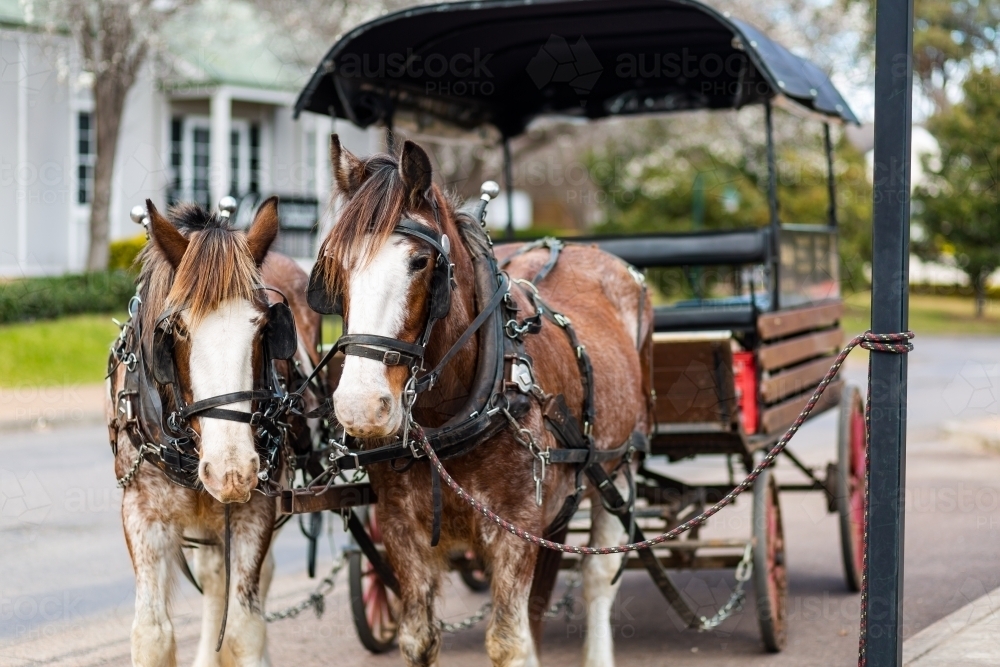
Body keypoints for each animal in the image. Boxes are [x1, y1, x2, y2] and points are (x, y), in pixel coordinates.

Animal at [106, 201, 318, 667]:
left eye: (263, 328)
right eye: (178, 329)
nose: (231, 471)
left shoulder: (256, 510)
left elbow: (242, 629)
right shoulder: (141, 511)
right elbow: (151, 634)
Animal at [314, 137, 656, 667]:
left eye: (419, 263)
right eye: (334, 265)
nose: (360, 406)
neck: (450, 416)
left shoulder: (515, 528)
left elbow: (509, 643)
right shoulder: (401, 530)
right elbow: (420, 639)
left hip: (617, 465)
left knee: (599, 578)